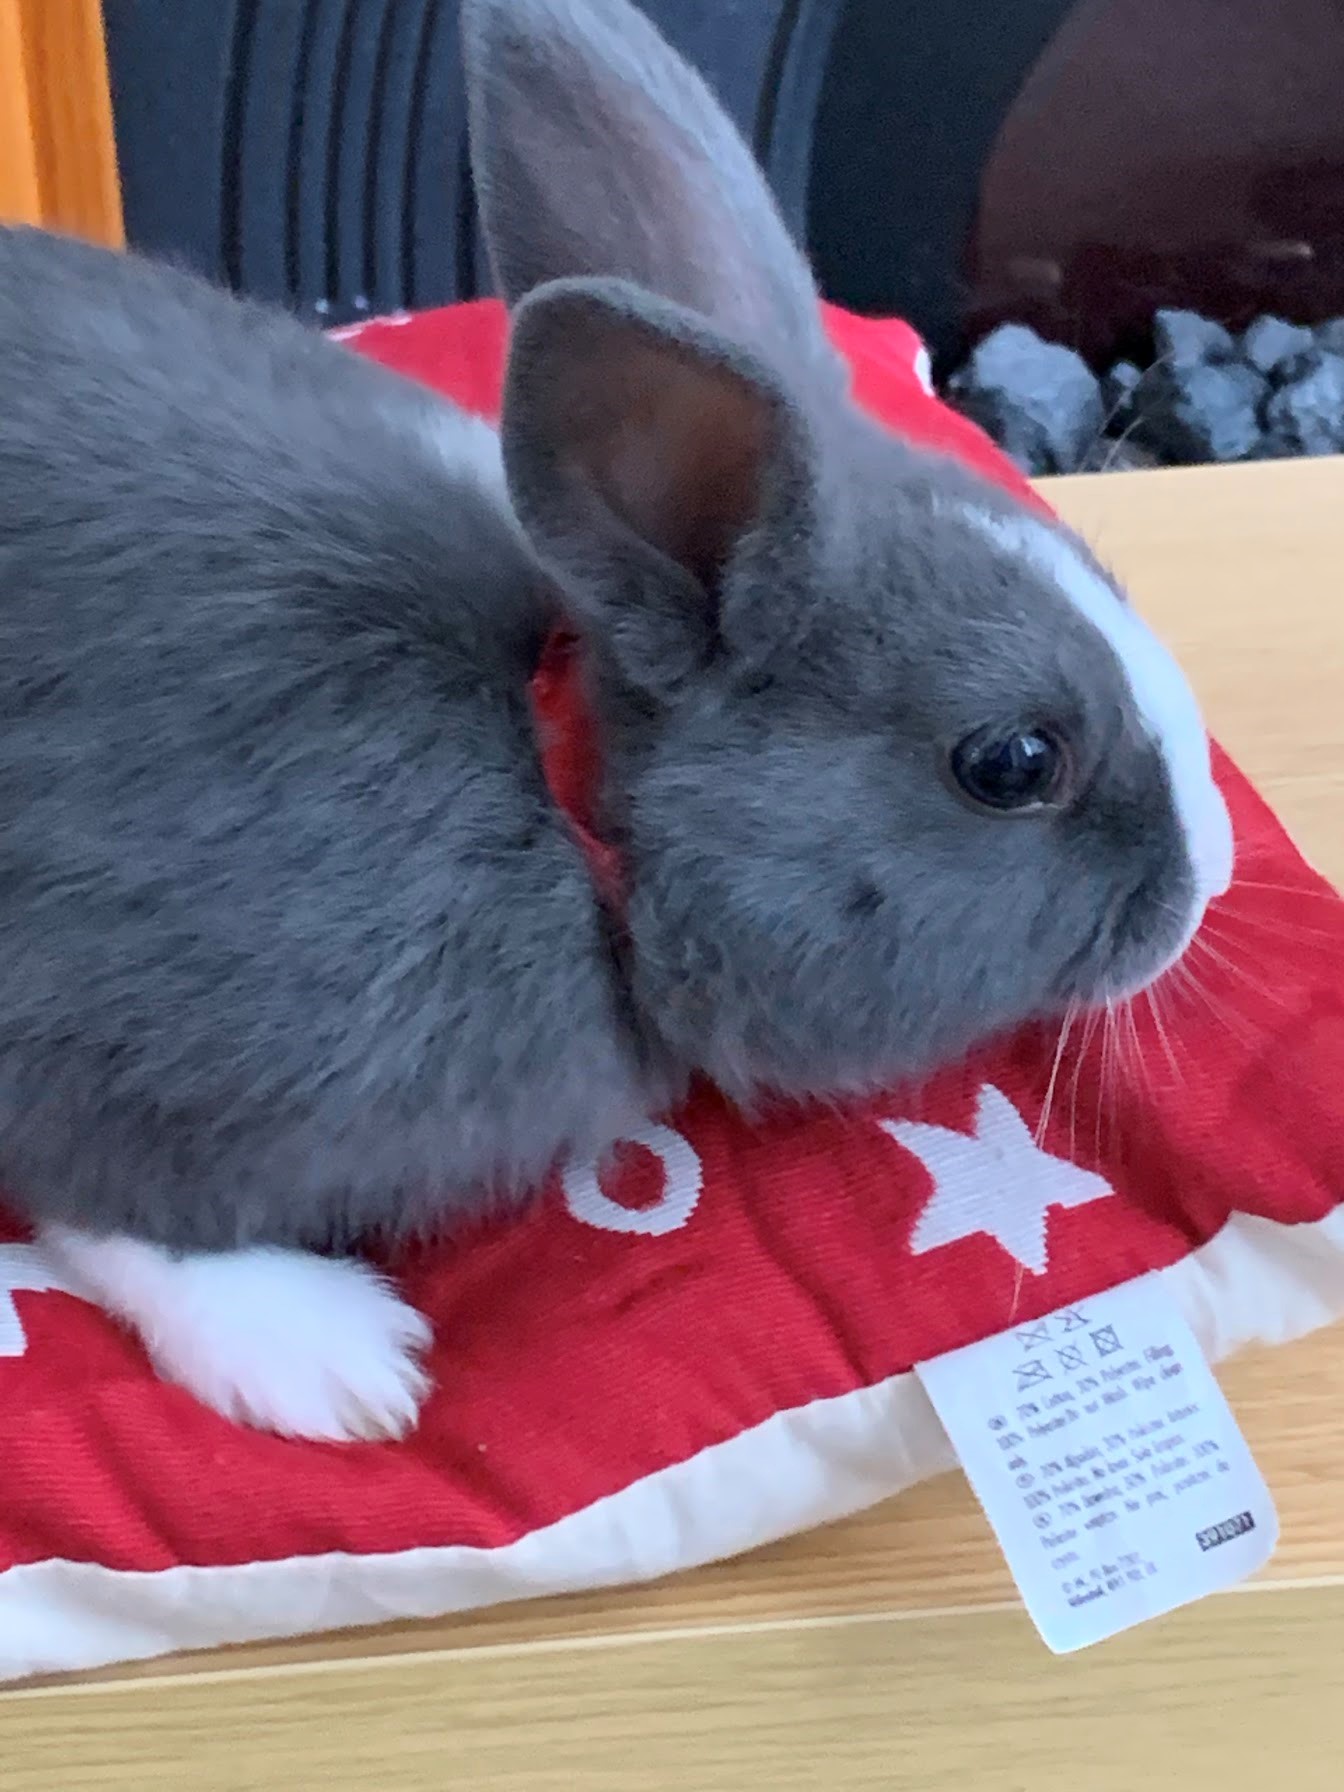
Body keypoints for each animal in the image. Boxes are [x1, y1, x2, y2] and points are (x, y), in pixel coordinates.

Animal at [0, 0, 1232, 1444]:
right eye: (1012, 763)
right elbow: (119, 1214)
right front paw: (335, 1361)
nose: (1209, 878)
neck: (561, 796)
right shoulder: (95, 1041)